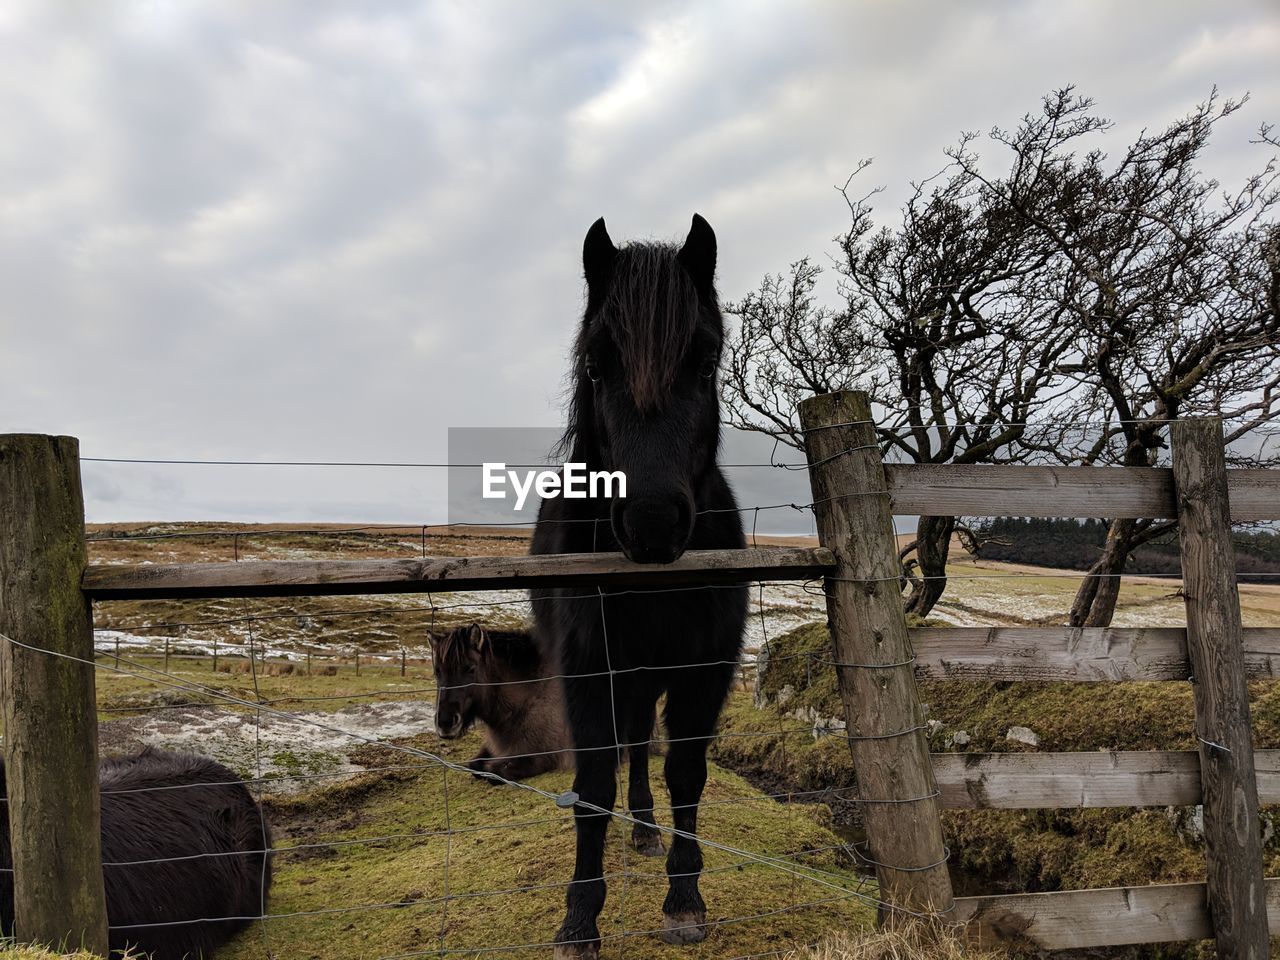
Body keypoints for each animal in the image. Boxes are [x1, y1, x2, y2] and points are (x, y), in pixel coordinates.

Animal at [427, 627, 573, 783]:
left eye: (471, 669)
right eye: (437, 670)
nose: (445, 722)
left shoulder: (538, 757)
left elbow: (494, 771)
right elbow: (474, 765)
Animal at [532, 213, 747, 957]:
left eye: (706, 362)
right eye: (596, 365)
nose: (652, 521)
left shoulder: (704, 671)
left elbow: (686, 773)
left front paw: (684, 898)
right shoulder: (588, 671)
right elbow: (594, 785)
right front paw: (579, 919)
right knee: (627, 749)